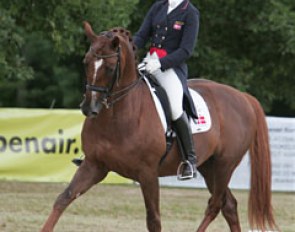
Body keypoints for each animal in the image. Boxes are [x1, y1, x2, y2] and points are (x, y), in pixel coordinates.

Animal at [41, 22, 278, 232]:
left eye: (108, 68)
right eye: (86, 62)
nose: (89, 108)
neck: (118, 116)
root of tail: (243, 97)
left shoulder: (148, 174)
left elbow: (153, 220)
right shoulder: (94, 165)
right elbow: (63, 198)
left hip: (224, 165)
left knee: (215, 205)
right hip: (208, 166)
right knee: (229, 206)